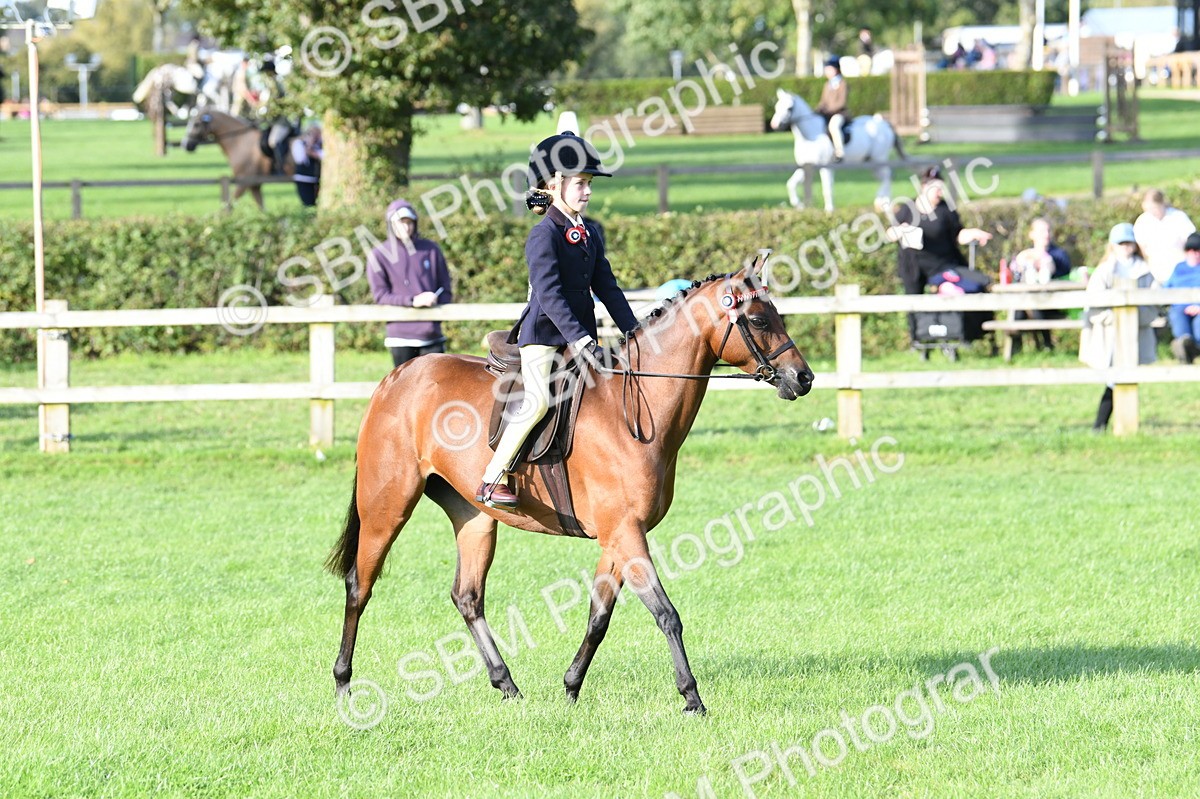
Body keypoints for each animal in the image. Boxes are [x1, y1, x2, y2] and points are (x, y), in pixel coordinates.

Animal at [326, 256, 815, 714]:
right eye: (759, 320)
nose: (804, 378)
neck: (633, 409)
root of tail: (398, 377)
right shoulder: (626, 533)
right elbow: (666, 614)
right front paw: (692, 697)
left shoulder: (618, 536)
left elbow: (599, 617)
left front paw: (571, 687)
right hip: (387, 506)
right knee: (359, 586)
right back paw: (344, 684)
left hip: (473, 516)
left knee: (467, 597)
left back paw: (507, 685)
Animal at [769, 88, 906, 213]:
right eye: (776, 106)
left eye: (789, 108)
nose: (774, 125)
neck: (810, 136)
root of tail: (885, 124)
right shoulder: (806, 166)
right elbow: (791, 184)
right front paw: (799, 205)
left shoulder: (826, 166)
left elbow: (827, 188)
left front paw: (829, 210)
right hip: (871, 162)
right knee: (884, 178)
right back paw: (882, 203)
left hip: (878, 159)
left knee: (887, 177)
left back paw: (884, 203)